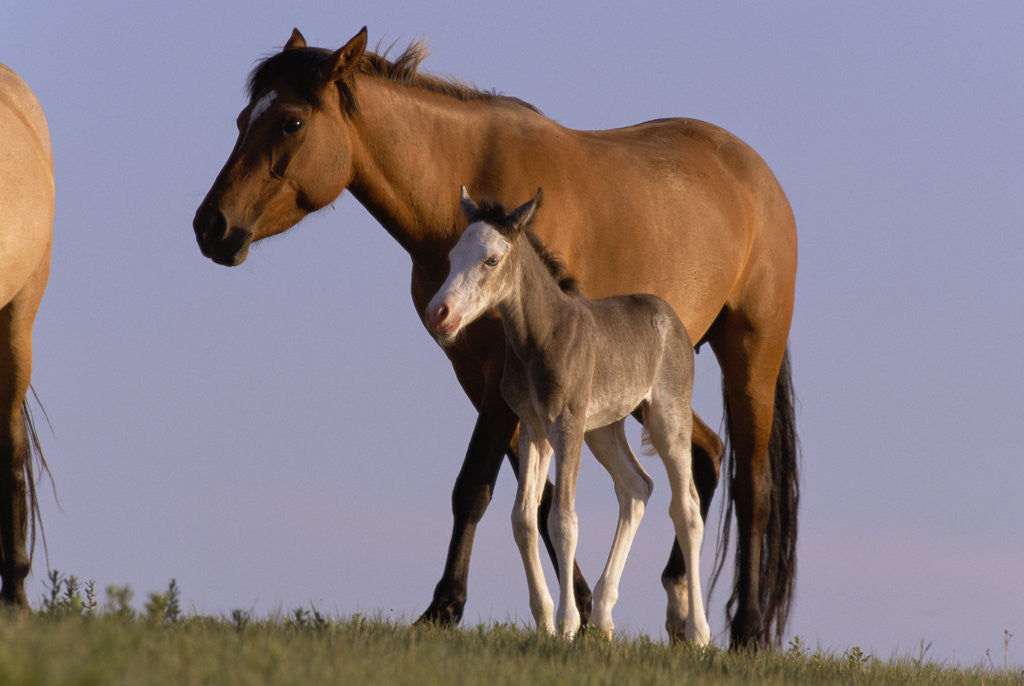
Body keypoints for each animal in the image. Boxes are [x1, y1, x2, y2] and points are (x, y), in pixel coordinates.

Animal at [426, 188, 710, 643]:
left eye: (492, 260)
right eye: (453, 256)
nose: (440, 314)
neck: (540, 337)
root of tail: (668, 315)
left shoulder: (567, 425)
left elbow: (563, 519)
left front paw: (567, 623)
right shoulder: (534, 428)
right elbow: (524, 518)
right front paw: (544, 621)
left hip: (667, 415)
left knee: (686, 509)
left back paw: (698, 633)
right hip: (605, 428)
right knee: (637, 487)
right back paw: (605, 618)